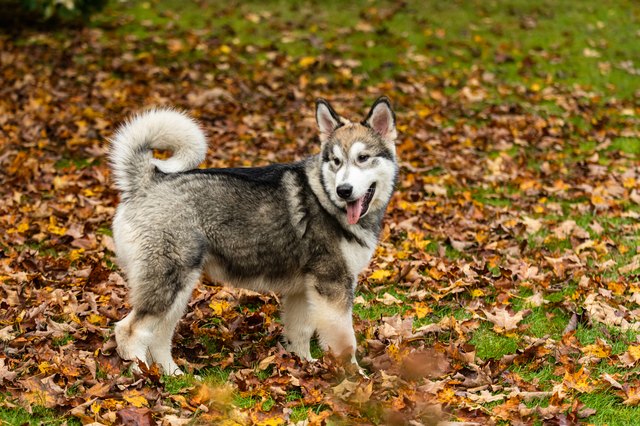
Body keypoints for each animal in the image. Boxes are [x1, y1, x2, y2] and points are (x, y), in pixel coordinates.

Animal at [112, 95, 398, 372]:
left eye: (363, 158)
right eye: (336, 161)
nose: (344, 190)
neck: (324, 197)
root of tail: (147, 181)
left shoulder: (303, 292)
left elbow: (300, 334)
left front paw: (305, 368)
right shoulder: (333, 286)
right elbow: (345, 341)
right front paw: (356, 377)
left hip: (179, 290)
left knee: (158, 337)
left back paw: (172, 377)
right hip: (169, 283)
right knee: (129, 331)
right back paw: (142, 376)